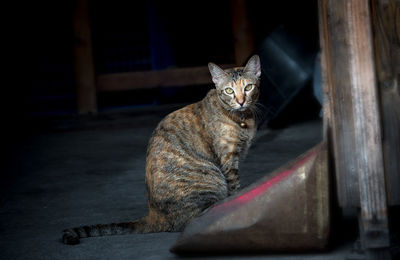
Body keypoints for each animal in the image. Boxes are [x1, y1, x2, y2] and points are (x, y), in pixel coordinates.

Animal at [61, 54, 262, 244]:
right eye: (229, 90)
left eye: (248, 88)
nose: (241, 101)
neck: (242, 119)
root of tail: (154, 216)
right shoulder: (228, 160)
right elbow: (235, 189)